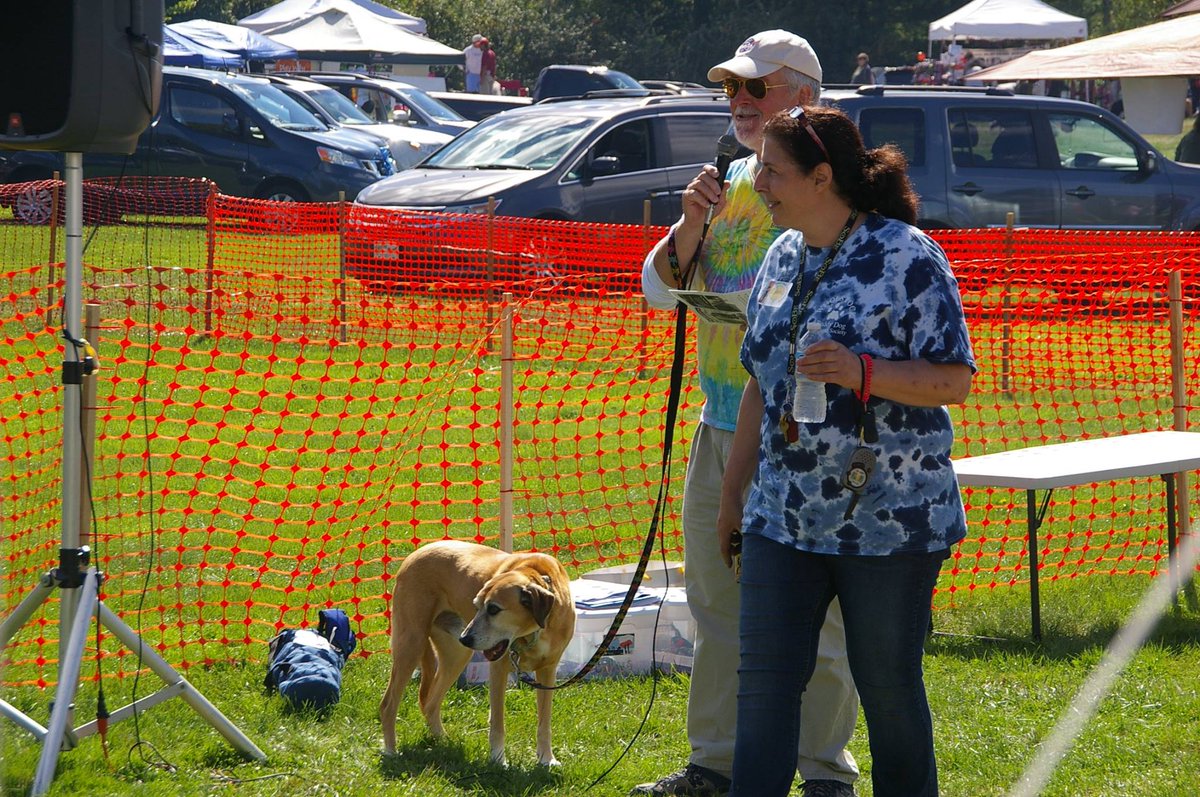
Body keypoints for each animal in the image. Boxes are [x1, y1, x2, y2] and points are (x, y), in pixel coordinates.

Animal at [379, 537, 576, 768]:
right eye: (476, 606)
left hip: (456, 655)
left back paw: (443, 742)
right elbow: (497, 723)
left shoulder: (547, 671)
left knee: (430, 704)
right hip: (411, 644)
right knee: (388, 705)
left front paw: (546, 759)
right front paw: (498, 760)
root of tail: (416, 553)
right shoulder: (499, 670)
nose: (465, 638)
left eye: (493, 609)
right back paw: (391, 751)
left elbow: (544, 722)